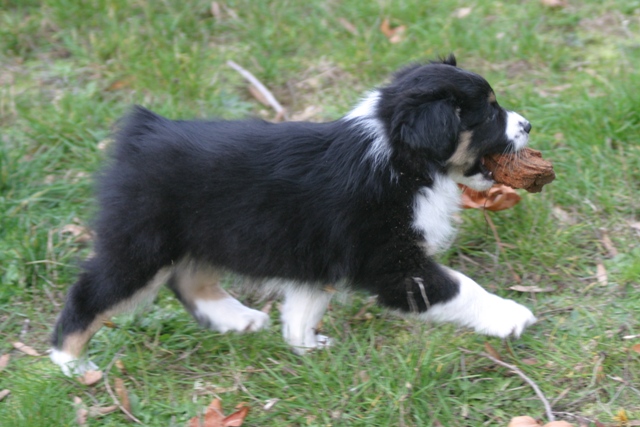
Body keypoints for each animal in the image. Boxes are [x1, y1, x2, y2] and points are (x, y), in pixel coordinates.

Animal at [51, 55, 536, 375]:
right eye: (490, 112)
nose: (528, 124)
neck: (401, 160)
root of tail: (143, 132)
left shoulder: (319, 256)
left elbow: (304, 306)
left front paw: (307, 347)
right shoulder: (392, 261)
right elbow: (461, 288)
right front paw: (513, 316)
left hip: (204, 235)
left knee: (188, 279)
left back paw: (240, 319)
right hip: (142, 242)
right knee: (93, 293)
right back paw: (71, 362)